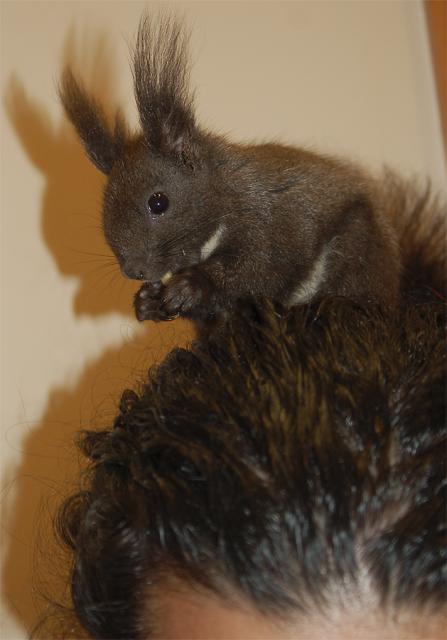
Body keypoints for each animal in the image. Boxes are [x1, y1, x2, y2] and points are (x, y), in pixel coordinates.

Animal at [59, 15, 401, 324]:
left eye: (158, 202)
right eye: (104, 208)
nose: (133, 270)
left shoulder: (268, 223)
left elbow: (257, 266)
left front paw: (192, 284)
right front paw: (147, 302)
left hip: (357, 247)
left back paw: (339, 303)